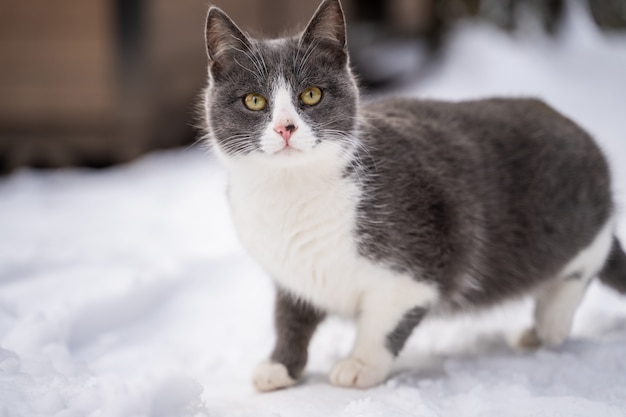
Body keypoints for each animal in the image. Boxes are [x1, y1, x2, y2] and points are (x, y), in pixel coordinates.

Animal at [201, 0, 624, 390]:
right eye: (254, 100)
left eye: (311, 95)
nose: (285, 128)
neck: (292, 194)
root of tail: (579, 132)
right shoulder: (291, 274)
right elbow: (289, 316)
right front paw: (281, 366)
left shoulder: (416, 261)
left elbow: (383, 321)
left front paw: (361, 365)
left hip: (572, 217)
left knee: (588, 258)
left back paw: (549, 322)